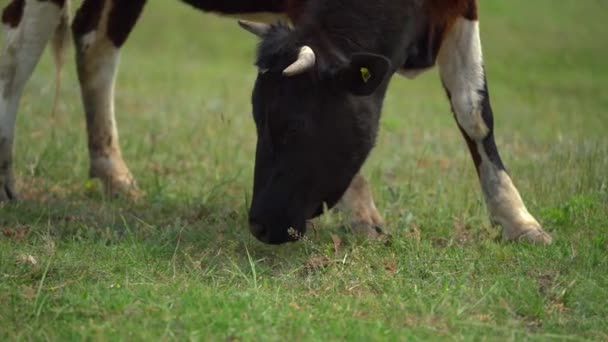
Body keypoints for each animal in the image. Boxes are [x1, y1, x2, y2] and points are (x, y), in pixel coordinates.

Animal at [240, 0, 552, 246]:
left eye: (294, 126)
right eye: (257, 119)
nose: (258, 225)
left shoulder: (463, 7)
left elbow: (472, 110)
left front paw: (519, 221)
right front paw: (359, 214)